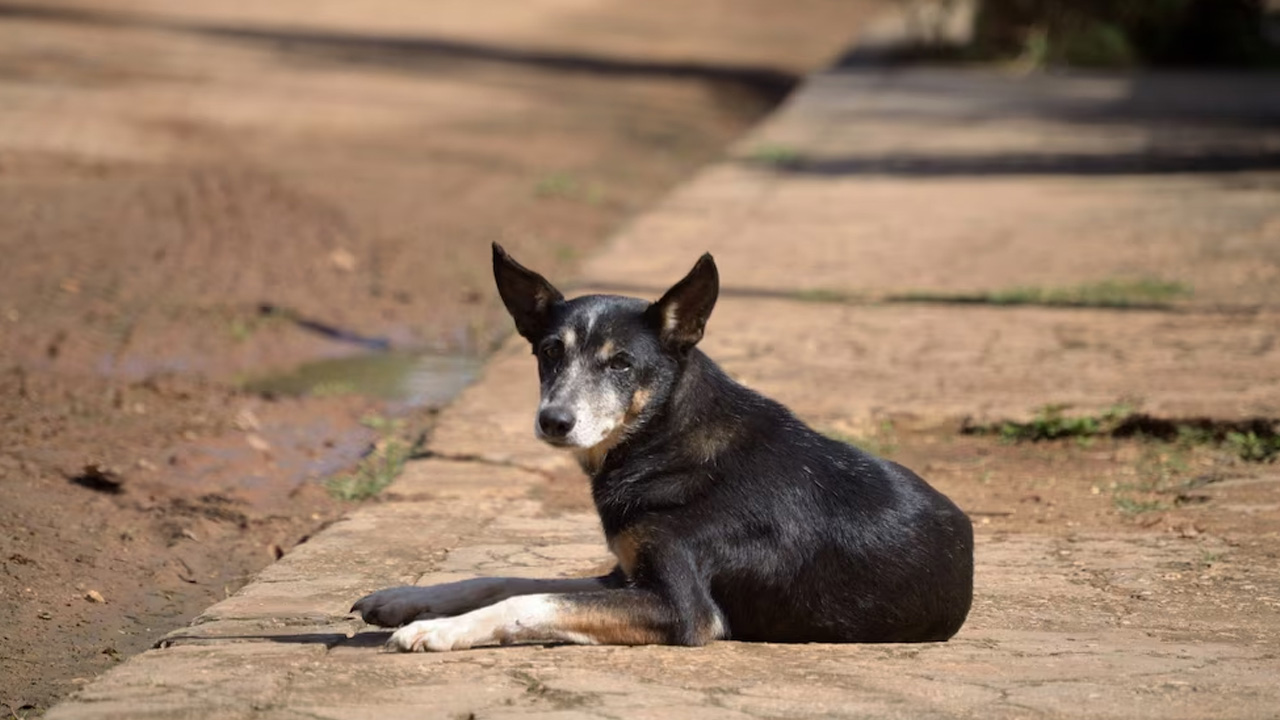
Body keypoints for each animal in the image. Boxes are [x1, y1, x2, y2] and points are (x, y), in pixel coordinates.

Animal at [350, 242, 967, 650]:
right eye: (549, 352)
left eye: (621, 364)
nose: (553, 421)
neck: (664, 440)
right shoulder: (624, 574)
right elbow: (505, 580)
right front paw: (403, 599)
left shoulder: (682, 609)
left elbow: (529, 601)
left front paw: (436, 629)